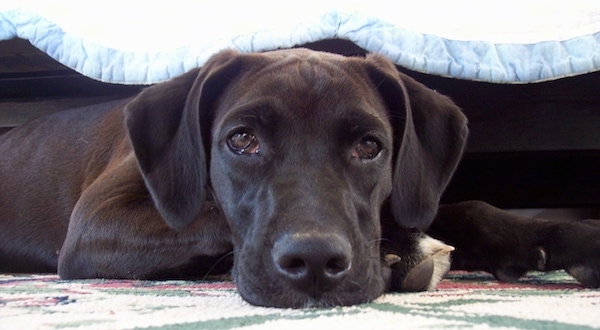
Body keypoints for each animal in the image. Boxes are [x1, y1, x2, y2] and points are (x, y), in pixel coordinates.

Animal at [0, 49, 596, 310]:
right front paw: (403, 249)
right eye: (241, 140)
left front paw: (567, 237)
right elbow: (212, 217)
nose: (313, 263)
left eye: (369, 145)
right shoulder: (94, 224)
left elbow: (463, 209)